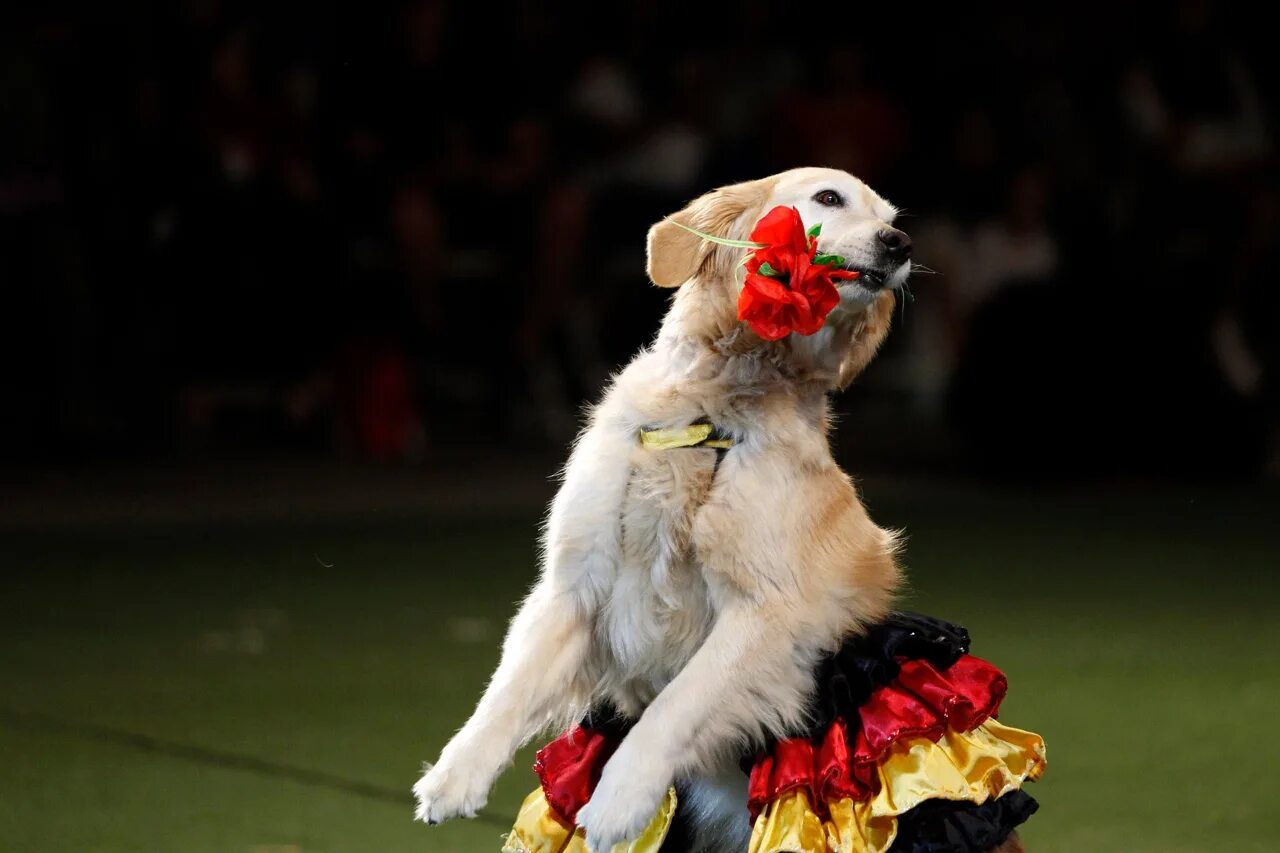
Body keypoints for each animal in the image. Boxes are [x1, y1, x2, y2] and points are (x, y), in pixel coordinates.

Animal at [414, 167, 1024, 850]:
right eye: (829, 198)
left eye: (892, 219)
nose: (899, 244)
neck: (711, 409)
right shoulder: (575, 585)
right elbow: (509, 688)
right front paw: (453, 777)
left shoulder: (767, 613)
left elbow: (676, 704)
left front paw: (619, 798)